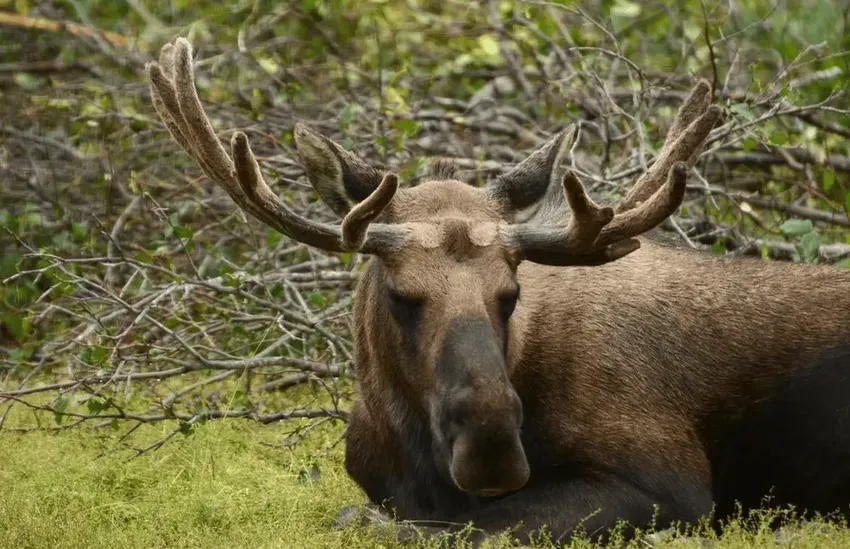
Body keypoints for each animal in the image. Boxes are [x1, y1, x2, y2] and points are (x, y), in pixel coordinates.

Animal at [144, 37, 848, 544]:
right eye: (401, 296)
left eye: (510, 292)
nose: (491, 448)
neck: (408, 451)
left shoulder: (669, 482)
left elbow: (458, 529)